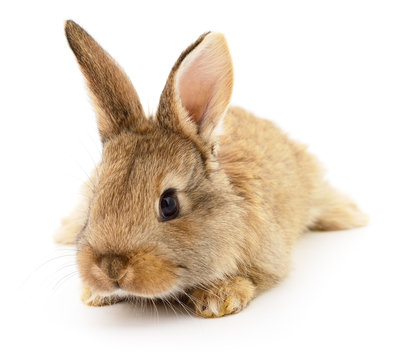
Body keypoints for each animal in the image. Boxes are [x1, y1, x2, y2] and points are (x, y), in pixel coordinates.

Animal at [55, 19, 368, 318]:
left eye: (169, 204)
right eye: (95, 197)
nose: (112, 268)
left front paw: (219, 300)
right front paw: (95, 295)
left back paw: (351, 215)